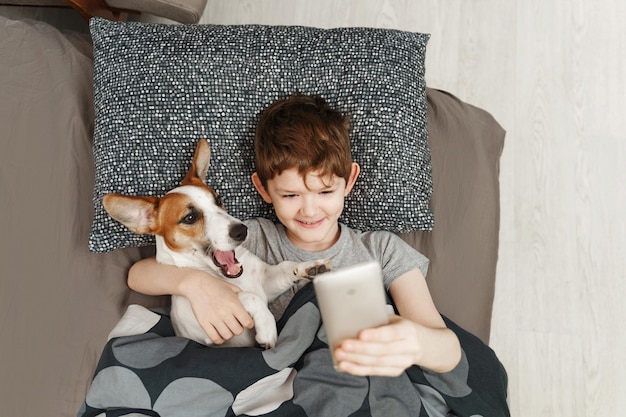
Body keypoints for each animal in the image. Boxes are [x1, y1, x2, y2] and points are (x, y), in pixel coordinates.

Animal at [103, 138, 330, 346]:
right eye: (190, 218)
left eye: (218, 200)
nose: (242, 231)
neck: (235, 278)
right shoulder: (211, 334)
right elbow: (247, 297)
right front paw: (267, 329)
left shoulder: (266, 282)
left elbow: (286, 267)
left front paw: (311, 266)